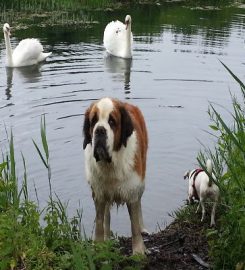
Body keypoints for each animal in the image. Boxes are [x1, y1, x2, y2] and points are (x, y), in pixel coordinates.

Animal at [83, 97, 147, 255]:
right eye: (93, 121)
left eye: (112, 121)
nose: (100, 130)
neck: (111, 165)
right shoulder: (98, 193)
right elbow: (99, 222)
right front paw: (99, 246)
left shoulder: (132, 191)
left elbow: (134, 224)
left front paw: (138, 252)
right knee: (107, 214)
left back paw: (143, 228)